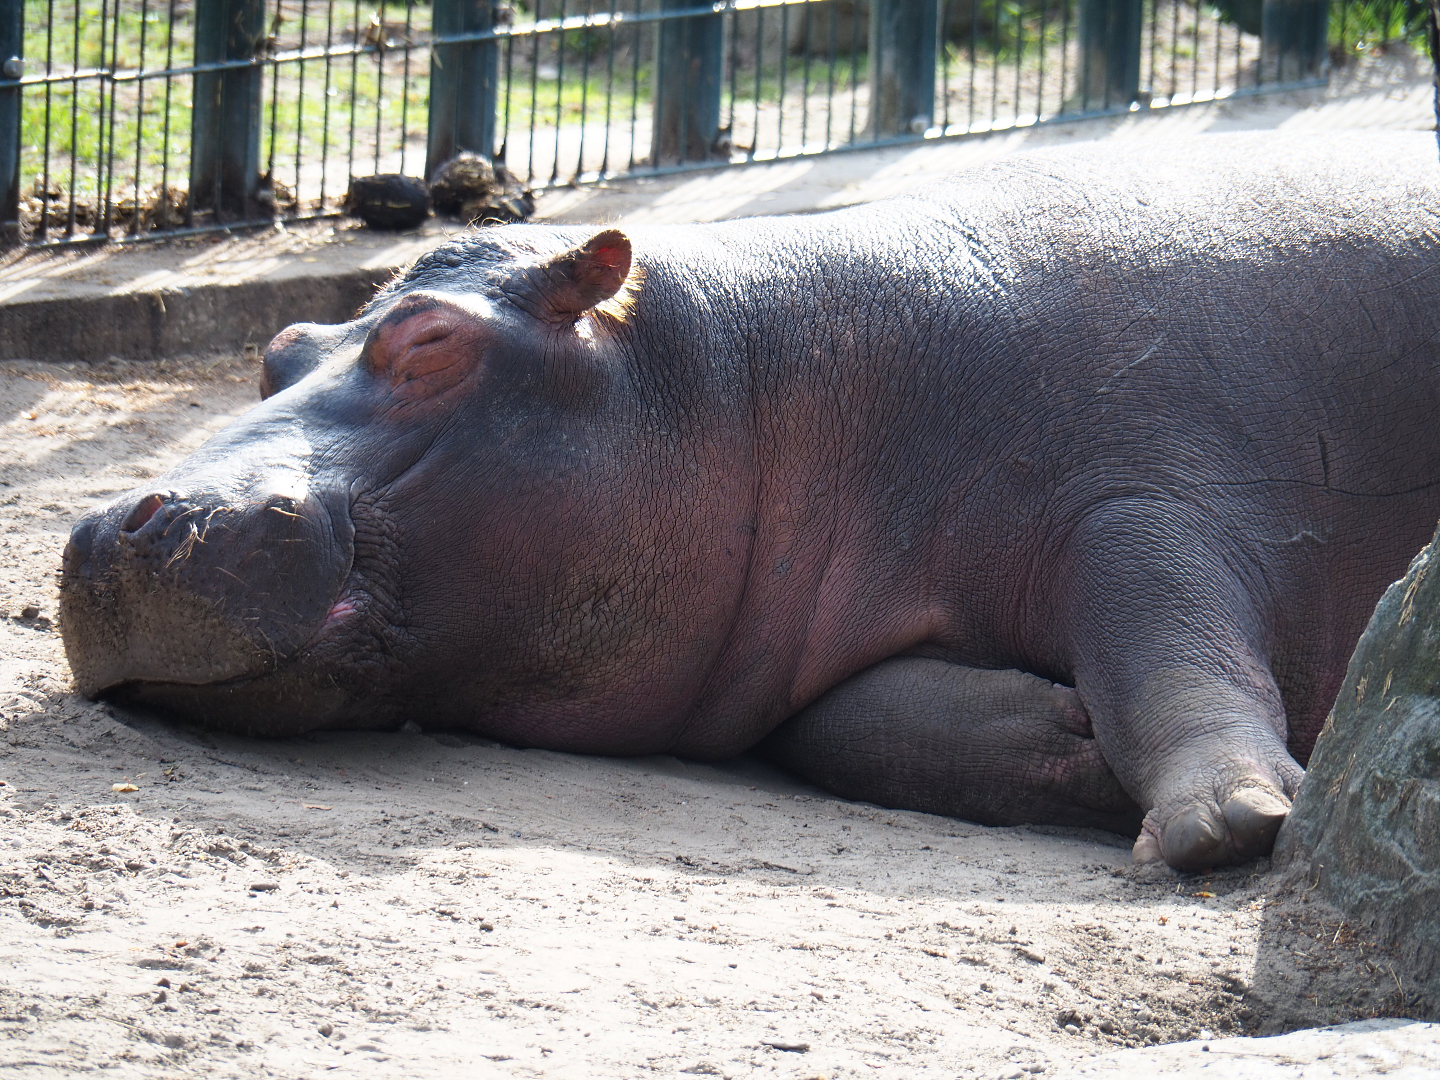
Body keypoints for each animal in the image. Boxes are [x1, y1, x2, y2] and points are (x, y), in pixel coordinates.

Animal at [60, 131, 1440, 872]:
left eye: (431, 341)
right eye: (280, 348)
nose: (113, 521)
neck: (759, 368)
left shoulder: (1140, 487)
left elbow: (1168, 645)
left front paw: (1235, 821)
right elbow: (850, 729)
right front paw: (1066, 741)